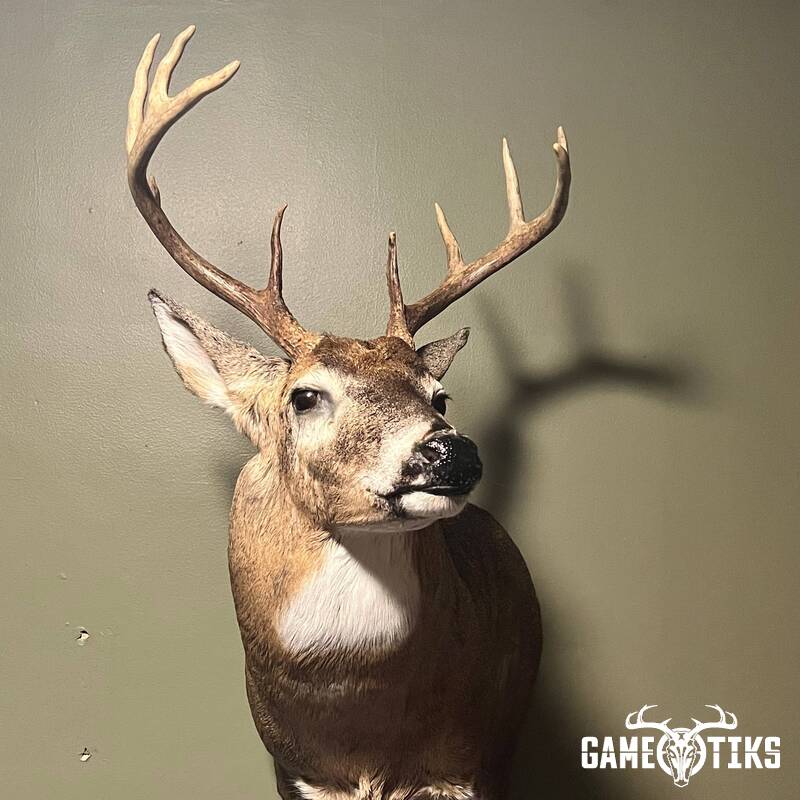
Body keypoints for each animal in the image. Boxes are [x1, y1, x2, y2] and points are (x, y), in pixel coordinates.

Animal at [126, 26, 570, 800]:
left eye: (438, 394)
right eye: (305, 395)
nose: (452, 452)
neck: (361, 733)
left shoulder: (463, 762)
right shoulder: (295, 770)